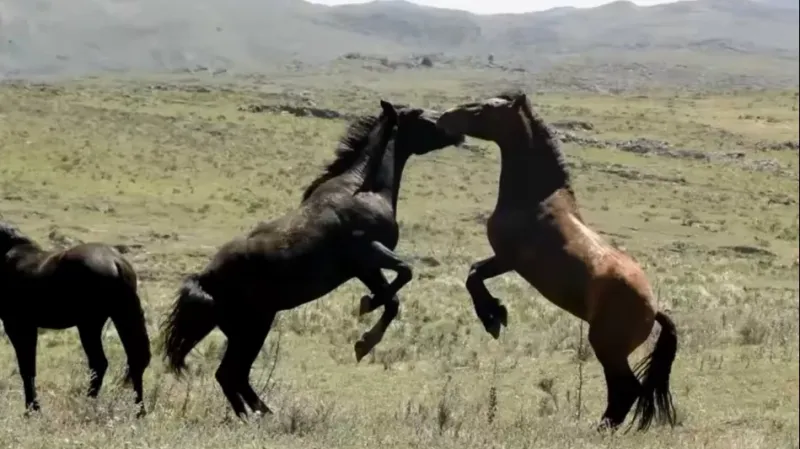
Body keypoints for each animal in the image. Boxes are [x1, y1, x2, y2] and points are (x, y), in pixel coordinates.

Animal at [0, 221, 152, 416]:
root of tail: (115, 262)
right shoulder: (28, 326)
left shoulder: (16, 325)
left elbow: (26, 367)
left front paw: (32, 409)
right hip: (120, 317)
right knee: (135, 359)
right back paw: (139, 410)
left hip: (89, 325)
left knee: (99, 363)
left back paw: (87, 404)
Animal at [161, 98, 462, 416]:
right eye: (418, 115)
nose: (456, 129)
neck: (363, 188)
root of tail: (206, 279)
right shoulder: (370, 252)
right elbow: (405, 272)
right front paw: (366, 321)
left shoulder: (364, 268)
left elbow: (392, 300)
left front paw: (364, 336)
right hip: (253, 328)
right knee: (231, 374)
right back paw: (259, 416)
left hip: (242, 330)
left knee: (232, 375)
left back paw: (261, 414)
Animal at [434, 91, 680, 430]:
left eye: (483, 109)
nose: (444, 117)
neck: (536, 200)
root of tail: (653, 310)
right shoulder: (502, 259)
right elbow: (473, 272)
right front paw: (496, 314)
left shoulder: (509, 260)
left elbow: (473, 277)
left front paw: (493, 318)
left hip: (606, 346)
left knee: (626, 389)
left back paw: (599, 429)